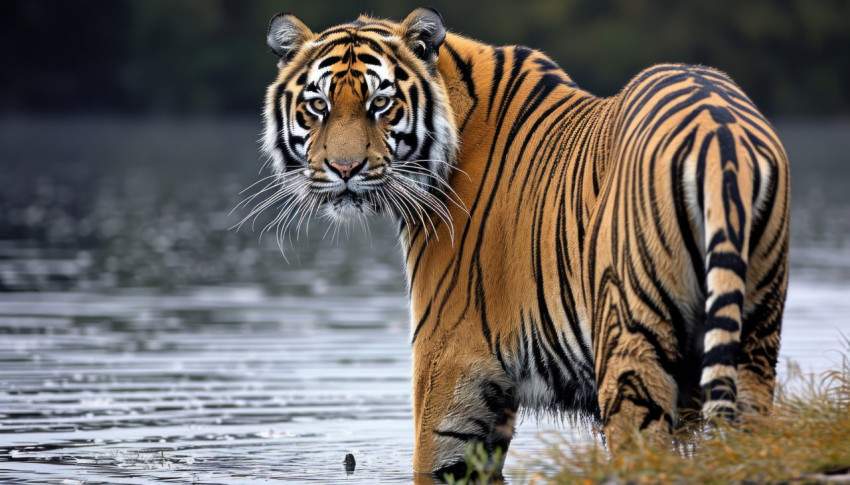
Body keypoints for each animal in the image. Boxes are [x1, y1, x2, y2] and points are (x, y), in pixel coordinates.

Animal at [250, 7, 788, 480]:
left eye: (380, 104)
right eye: (318, 106)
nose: (344, 169)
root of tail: (718, 136)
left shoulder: (452, 359)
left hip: (634, 341)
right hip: (755, 338)